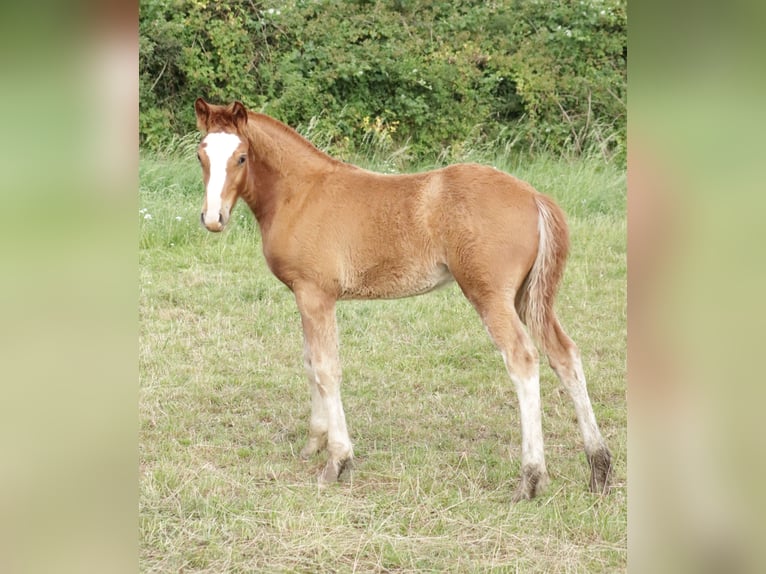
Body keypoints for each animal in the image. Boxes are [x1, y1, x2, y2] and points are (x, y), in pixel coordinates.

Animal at [192, 98, 612, 501]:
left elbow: (327, 369)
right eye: (201, 156)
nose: (213, 218)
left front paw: (337, 462)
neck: (301, 193)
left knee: (523, 359)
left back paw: (531, 479)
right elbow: (311, 364)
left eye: (241, 157)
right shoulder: (303, 294)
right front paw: (314, 443)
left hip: (490, 295)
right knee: (565, 355)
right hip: (528, 297)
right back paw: (599, 469)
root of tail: (534, 195)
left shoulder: (315, 294)